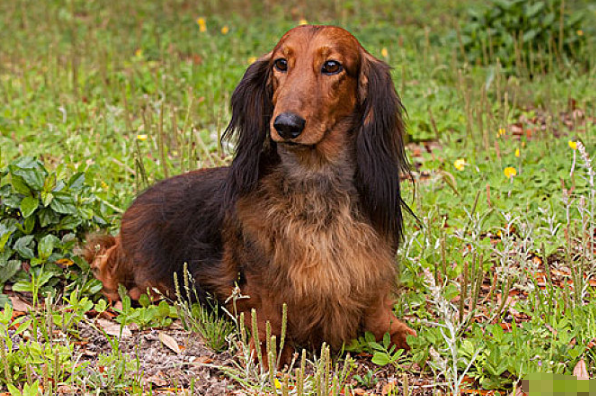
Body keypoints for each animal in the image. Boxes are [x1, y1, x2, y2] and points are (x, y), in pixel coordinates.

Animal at [85, 24, 414, 358]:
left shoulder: (369, 272)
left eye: (332, 66)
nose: (286, 125)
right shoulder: (256, 285)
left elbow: (380, 312)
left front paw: (397, 331)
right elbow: (268, 318)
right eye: (281, 63)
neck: (316, 187)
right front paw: (271, 350)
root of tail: (133, 208)